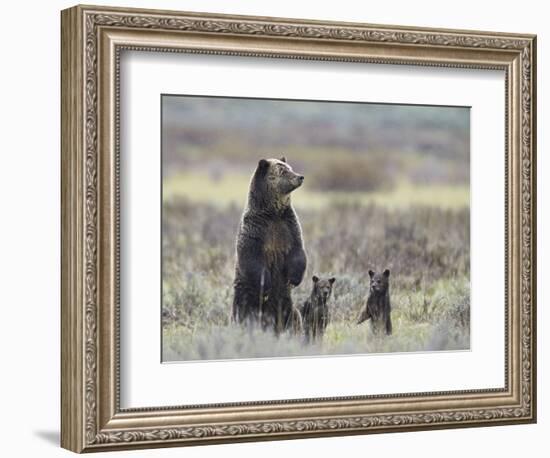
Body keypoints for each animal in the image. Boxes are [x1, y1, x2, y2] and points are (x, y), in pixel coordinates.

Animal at [233, 157, 308, 332]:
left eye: (290, 167)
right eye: (283, 171)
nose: (300, 177)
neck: (273, 213)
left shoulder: (289, 227)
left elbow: (298, 252)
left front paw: (294, 279)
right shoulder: (256, 230)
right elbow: (250, 257)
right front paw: (265, 286)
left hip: (285, 302)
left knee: (292, 316)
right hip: (245, 295)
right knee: (243, 312)